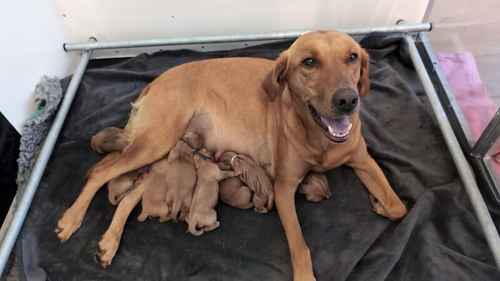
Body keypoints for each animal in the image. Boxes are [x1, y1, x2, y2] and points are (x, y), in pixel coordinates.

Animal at [56, 30, 406, 280]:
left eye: (352, 57)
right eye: (309, 62)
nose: (348, 100)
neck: (321, 138)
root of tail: (155, 82)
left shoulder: (363, 160)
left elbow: (398, 207)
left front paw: (378, 203)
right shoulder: (283, 189)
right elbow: (300, 248)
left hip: (162, 152)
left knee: (129, 192)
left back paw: (109, 242)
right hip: (157, 141)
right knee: (100, 171)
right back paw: (71, 220)